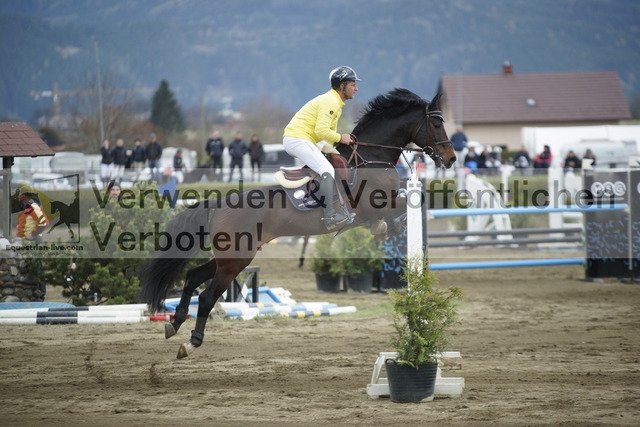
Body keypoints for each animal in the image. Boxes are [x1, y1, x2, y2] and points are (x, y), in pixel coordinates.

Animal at [140, 88, 456, 360]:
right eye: (436, 125)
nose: (451, 158)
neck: (371, 158)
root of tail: (218, 204)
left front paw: (387, 228)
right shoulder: (373, 204)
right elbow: (407, 202)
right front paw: (391, 226)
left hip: (230, 257)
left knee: (193, 276)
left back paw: (174, 322)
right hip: (236, 260)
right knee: (206, 297)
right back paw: (190, 342)